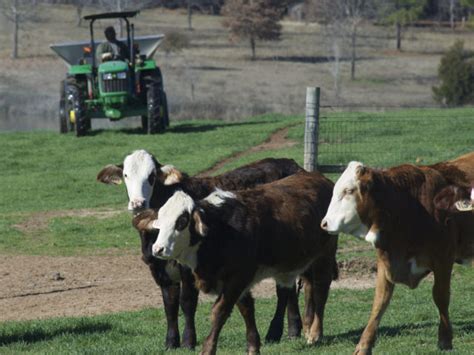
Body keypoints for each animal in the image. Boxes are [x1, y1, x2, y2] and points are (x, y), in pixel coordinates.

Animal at [96, 152, 308, 350]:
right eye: (126, 175)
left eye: (152, 176)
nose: (138, 203)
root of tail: (291, 165)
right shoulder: (159, 268)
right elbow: (170, 304)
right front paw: (171, 341)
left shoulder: (188, 268)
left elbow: (187, 302)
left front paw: (188, 341)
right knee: (289, 289)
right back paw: (294, 328)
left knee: (283, 292)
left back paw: (275, 331)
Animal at [135, 171, 338, 354]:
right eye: (160, 220)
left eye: (182, 221)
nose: (158, 249)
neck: (220, 229)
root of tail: (320, 178)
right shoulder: (238, 281)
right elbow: (247, 309)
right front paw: (253, 346)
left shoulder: (237, 278)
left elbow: (220, 312)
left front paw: (208, 349)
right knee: (307, 287)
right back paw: (305, 327)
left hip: (325, 256)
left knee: (321, 290)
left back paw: (315, 333)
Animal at [320, 162, 472, 355]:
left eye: (348, 190)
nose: (324, 223)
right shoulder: (386, 262)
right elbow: (380, 301)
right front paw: (364, 345)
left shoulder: (444, 258)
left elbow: (441, 296)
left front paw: (445, 339)